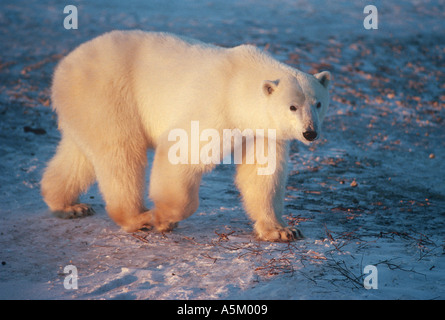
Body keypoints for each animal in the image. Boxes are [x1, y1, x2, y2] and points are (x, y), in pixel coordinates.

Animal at [41, 30, 330, 242]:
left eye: (318, 103)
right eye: (292, 106)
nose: (310, 132)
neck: (237, 83)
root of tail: (64, 66)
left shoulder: (261, 129)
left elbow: (262, 174)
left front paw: (283, 230)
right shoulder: (215, 107)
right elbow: (181, 150)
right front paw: (164, 218)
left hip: (85, 108)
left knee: (79, 155)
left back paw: (68, 206)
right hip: (108, 93)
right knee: (121, 153)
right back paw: (138, 218)